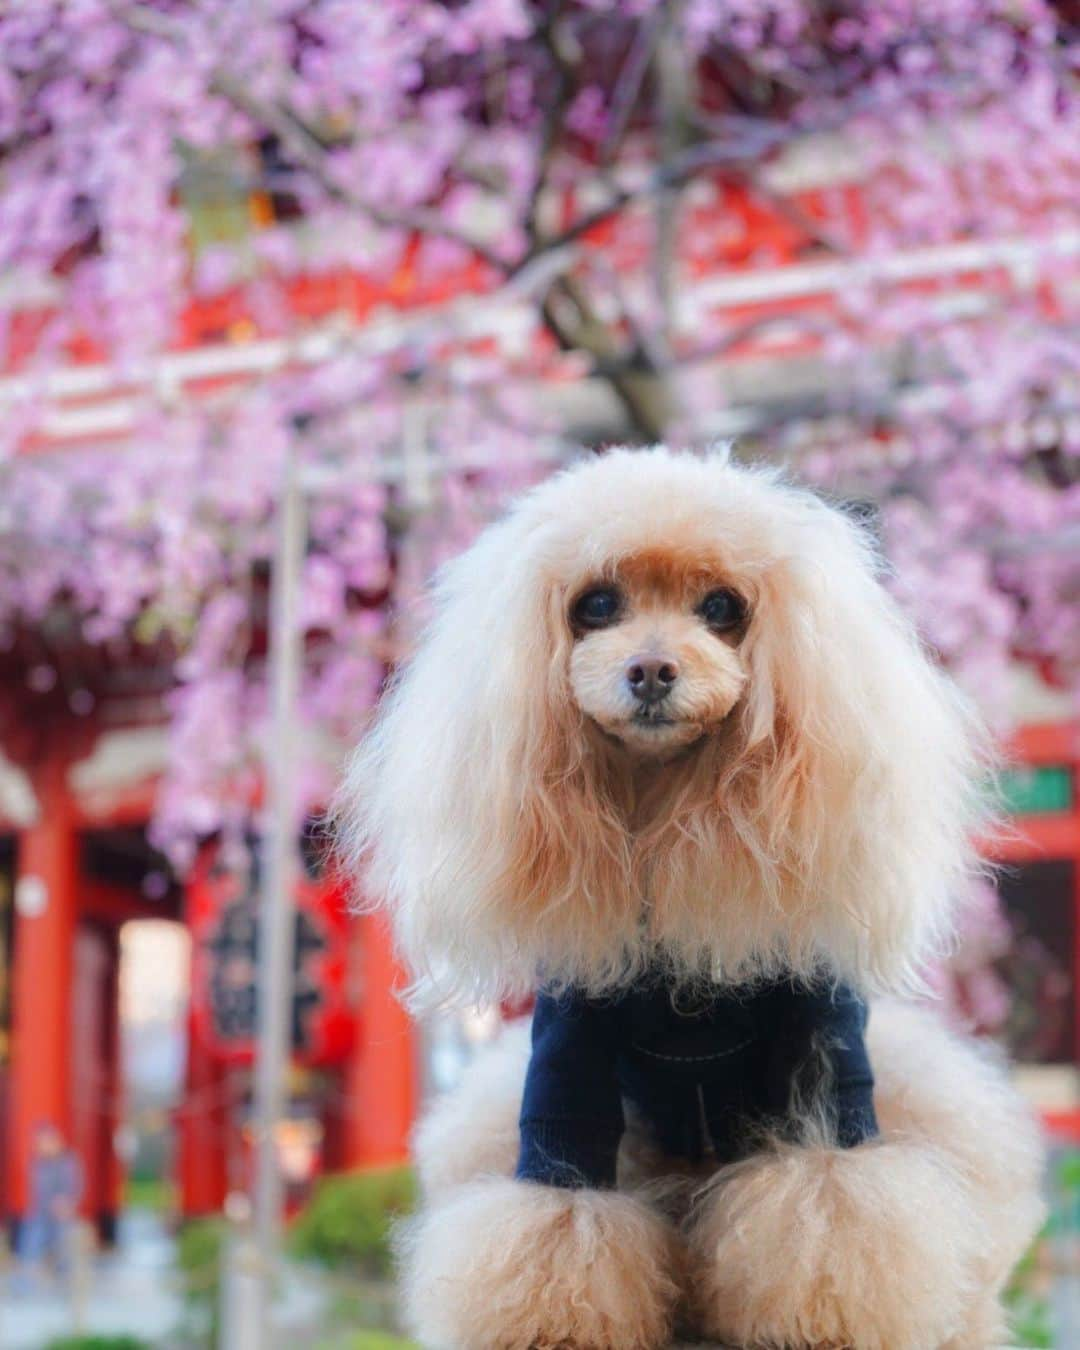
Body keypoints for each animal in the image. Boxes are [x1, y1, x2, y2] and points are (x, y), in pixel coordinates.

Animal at [340, 450, 1047, 1350]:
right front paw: (554, 1324)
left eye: (722, 609)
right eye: (596, 605)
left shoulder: (825, 1069)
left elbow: (832, 1201)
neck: (666, 820)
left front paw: (826, 1319)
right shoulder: (568, 1060)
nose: (650, 671)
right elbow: (559, 1212)